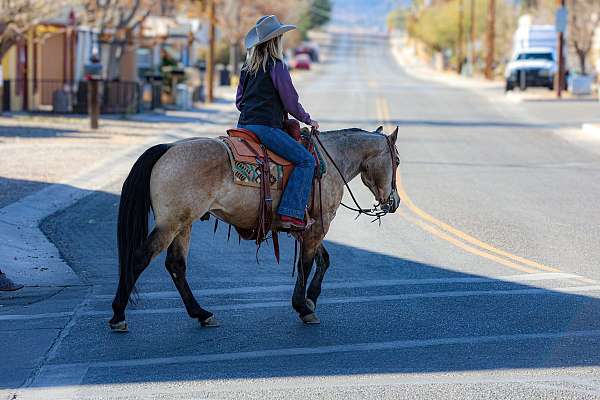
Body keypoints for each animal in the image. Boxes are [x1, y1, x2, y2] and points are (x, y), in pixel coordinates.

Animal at [110, 126, 400, 332]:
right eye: (396, 161)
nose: (394, 202)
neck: (331, 160)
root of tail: (168, 147)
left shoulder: (308, 227)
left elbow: (323, 260)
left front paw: (310, 299)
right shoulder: (320, 224)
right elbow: (306, 264)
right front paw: (304, 307)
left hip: (183, 224)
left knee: (176, 266)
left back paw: (202, 314)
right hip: (171, 224)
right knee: (140, 258)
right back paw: (118, 315)